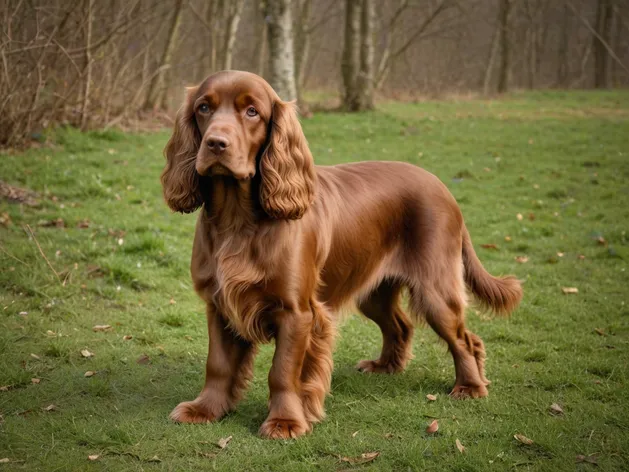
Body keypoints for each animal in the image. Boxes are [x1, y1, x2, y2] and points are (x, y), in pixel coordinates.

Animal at [161, 70, 520, 438]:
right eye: (204, 108)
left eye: (252, 112)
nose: (216, 144)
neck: (238, 220)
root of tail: (444, 188)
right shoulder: (219, 303)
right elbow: (218, 364)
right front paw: (206, 409)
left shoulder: (297, 312)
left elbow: (282, 371)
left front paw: (285, 421)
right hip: (373, 291)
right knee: (401, 326)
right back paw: (385, 366)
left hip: (435, 289)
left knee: (465, 339)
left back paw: (470, 386)